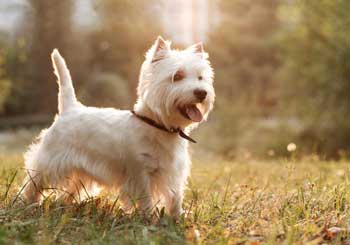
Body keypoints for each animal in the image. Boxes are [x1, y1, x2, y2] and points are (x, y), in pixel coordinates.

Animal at [21, 36, 215, 216]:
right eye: (177, 76)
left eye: (200, 77)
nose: (201, 92)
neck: (159, 126)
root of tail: (70, 108)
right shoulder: (140, 172)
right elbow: (146, 197)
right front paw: (148, 217)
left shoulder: (174, 172)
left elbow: (175, 197)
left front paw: (178, 216)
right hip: (50, 159)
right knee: (34, 181)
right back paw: (28, 204)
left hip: (80, 169)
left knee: (70, 190)